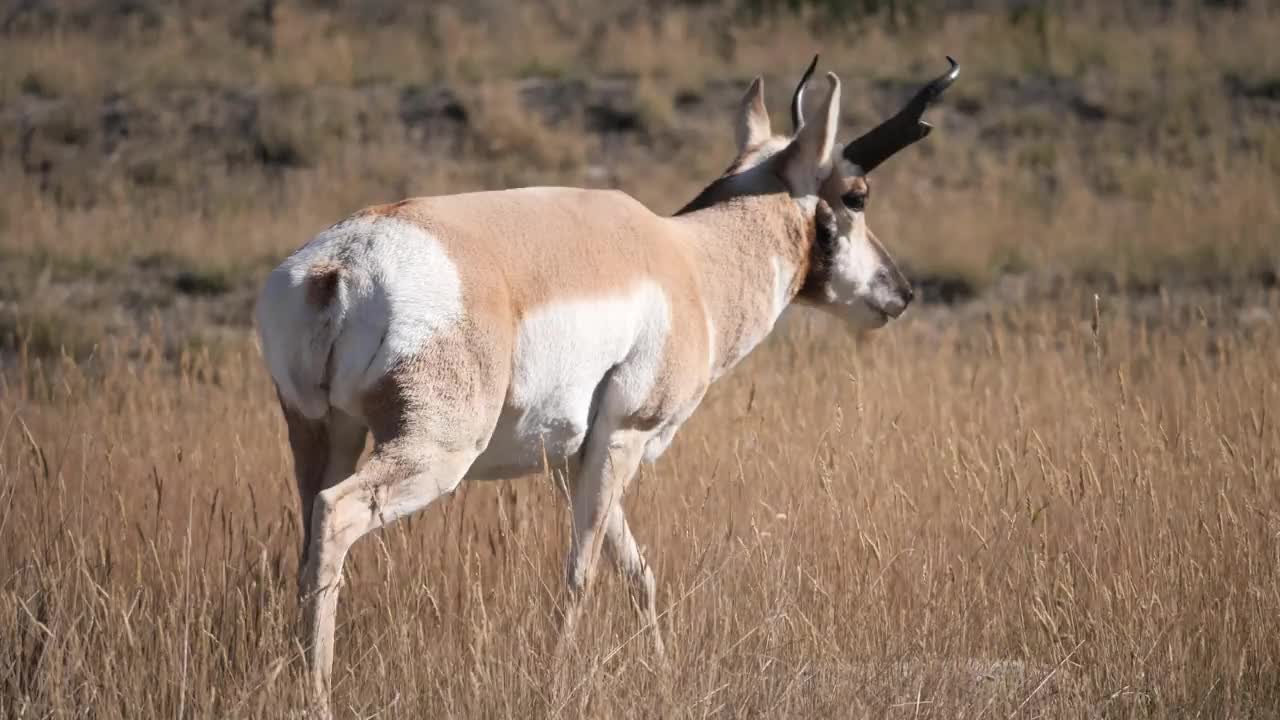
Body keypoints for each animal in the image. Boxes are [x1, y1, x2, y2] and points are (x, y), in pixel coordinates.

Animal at [254, 54, 957, 707]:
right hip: (435, 453)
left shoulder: (577, 459)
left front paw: (665, 678)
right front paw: (554, 684)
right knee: (337, 515)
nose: (901, 293)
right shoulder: (624, 437)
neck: (687, 261)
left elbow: (637, 570)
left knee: (309, 533)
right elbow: (583, 572)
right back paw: (318, 695)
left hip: (322, 435)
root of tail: (341, 264)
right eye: (857, 194)